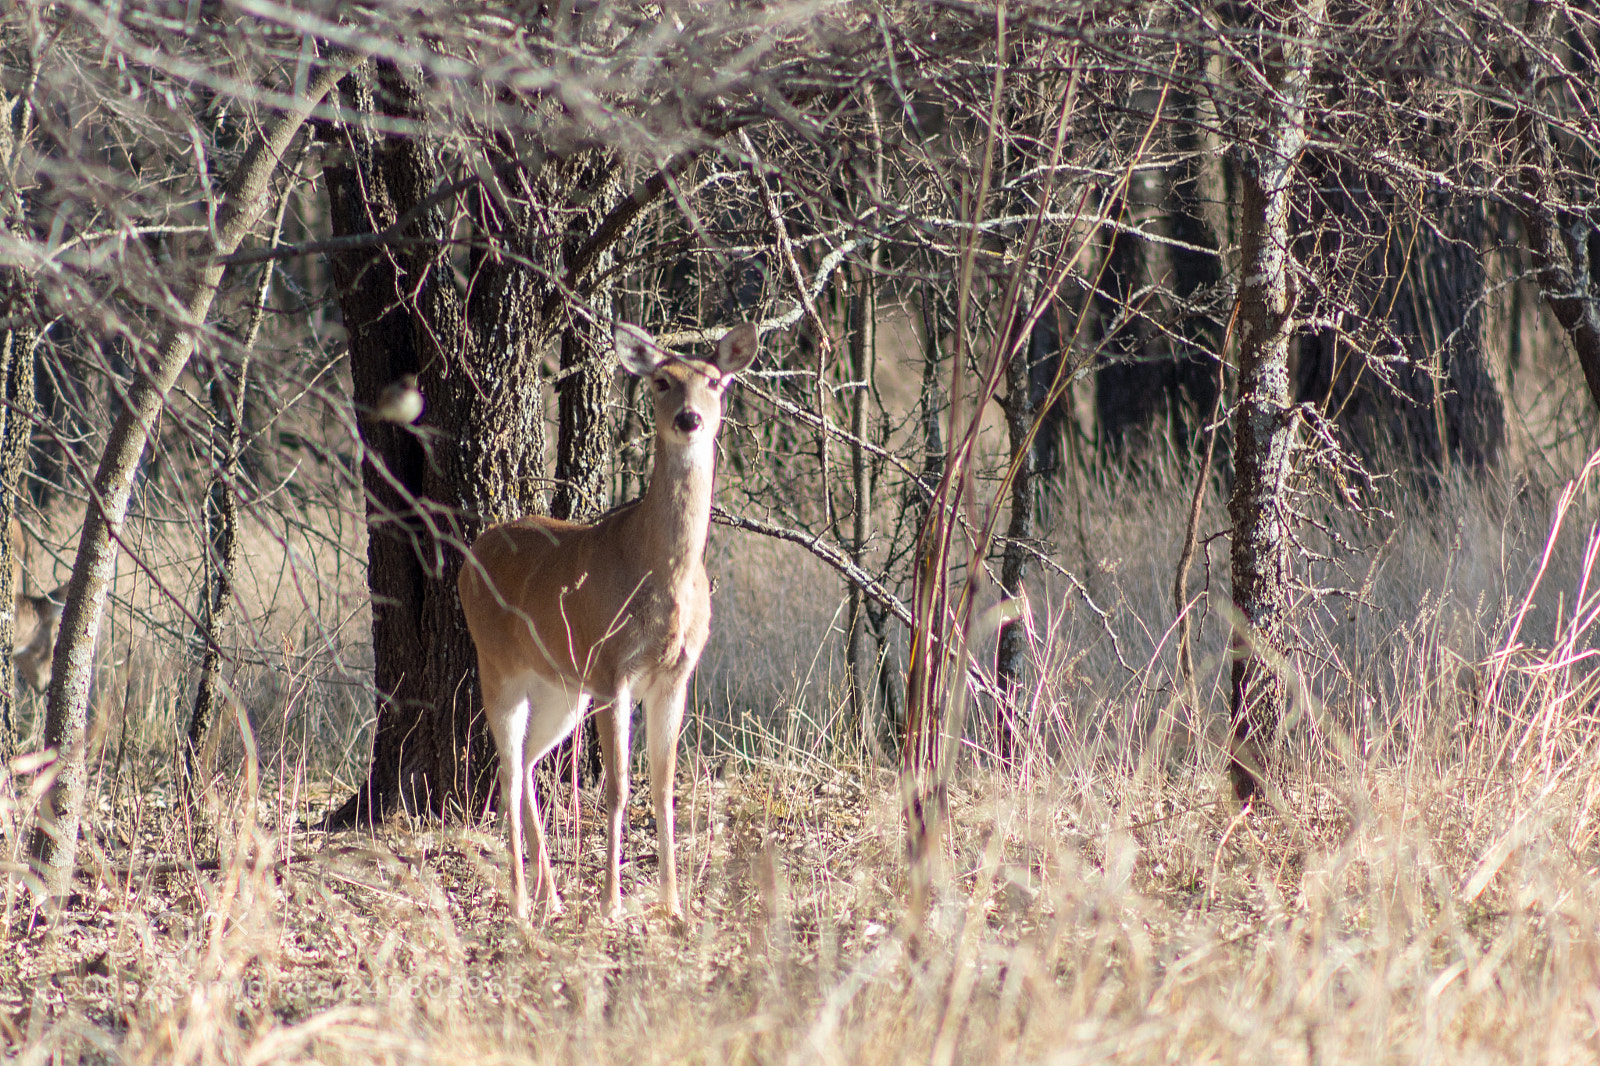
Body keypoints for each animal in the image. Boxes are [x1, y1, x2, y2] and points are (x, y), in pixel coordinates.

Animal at [458, 320, 758, 921]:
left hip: (562, 688)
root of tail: (468, 556)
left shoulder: (674, 676)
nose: (689, 418)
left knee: (529, 762)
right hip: (499, 666)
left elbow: (663, 786)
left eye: (715, 381)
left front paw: (673, 903)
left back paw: (550, 894)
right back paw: (521, 899)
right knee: (506, 770)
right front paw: (611, 903)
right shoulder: (612, 669)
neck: (660, 573)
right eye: (662, 380)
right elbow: (617, 787)